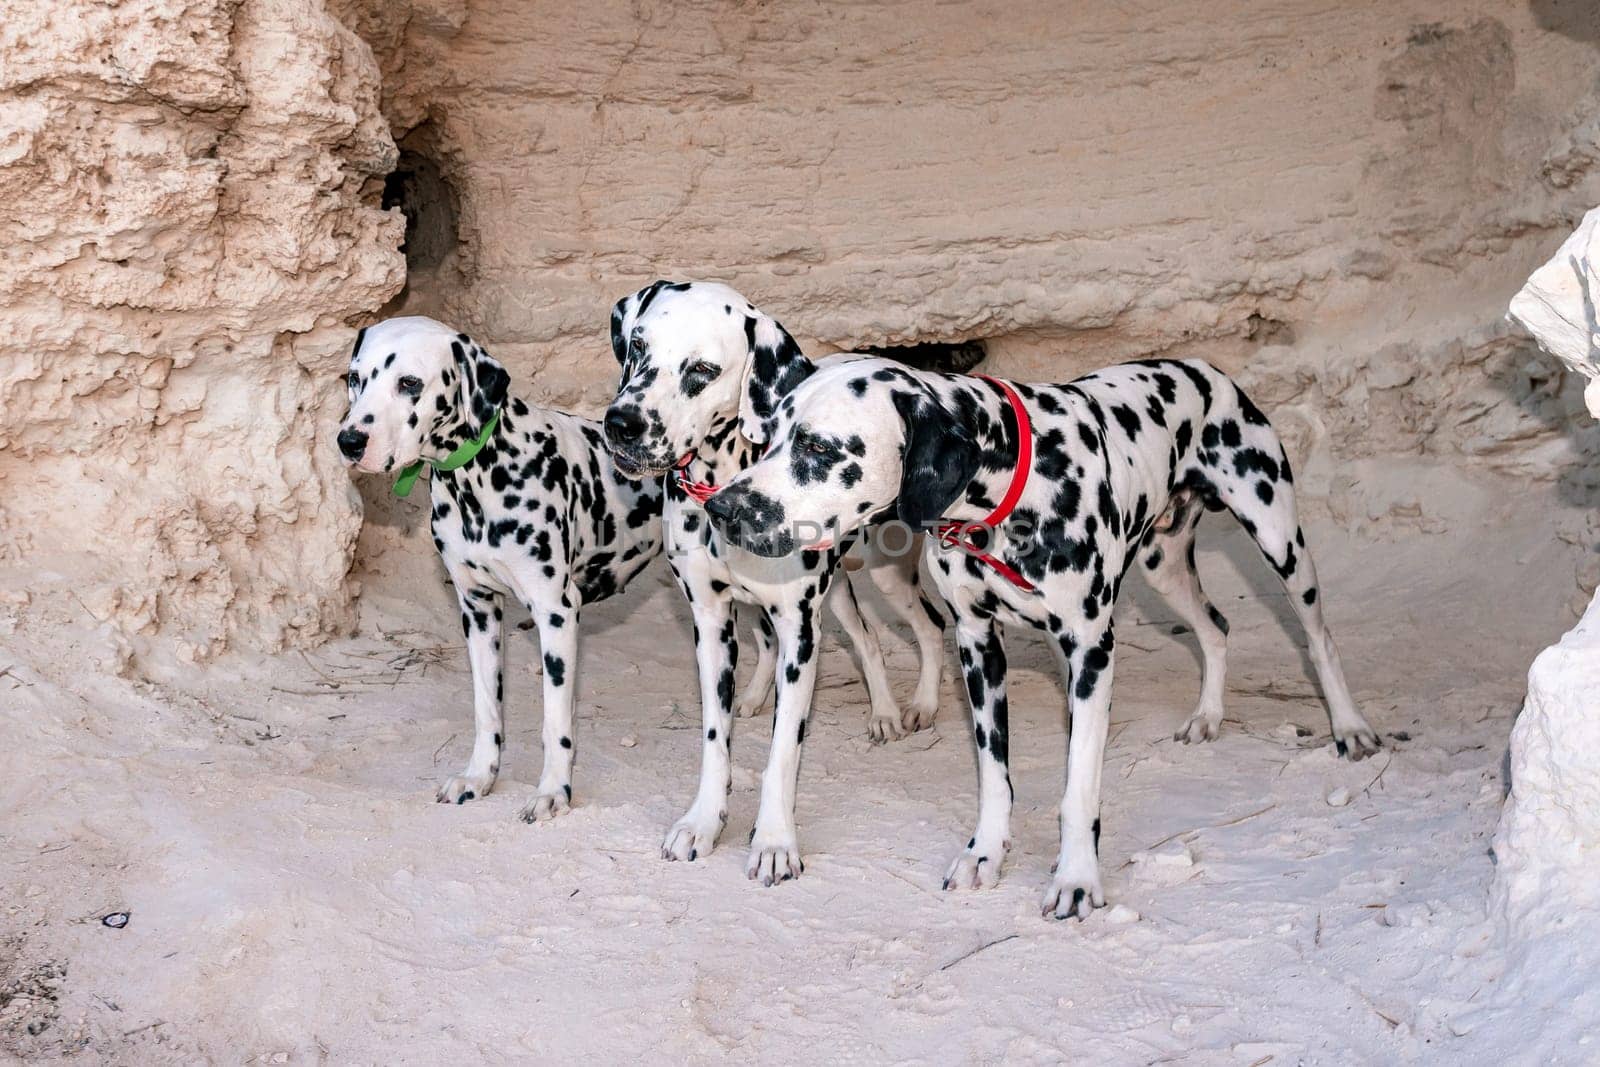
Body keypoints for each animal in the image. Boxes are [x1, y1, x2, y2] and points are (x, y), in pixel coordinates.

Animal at [337, 313, 662, 825]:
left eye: (409, 383)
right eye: (354, 379)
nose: (349, 441)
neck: (482, 478)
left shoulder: (556, 614)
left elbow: (555, 723)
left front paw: (553, 791)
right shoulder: (478, 609)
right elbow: (487, 709)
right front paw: (479, 777)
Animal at [601, 278, 947, 883]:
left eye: (702, 369)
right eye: (638, 345)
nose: (621, 423)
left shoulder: (800, 636)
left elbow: (784, 752)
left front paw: (775, 842)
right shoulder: (711, 622)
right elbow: (715, 739)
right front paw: (703, 821)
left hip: (883, 579)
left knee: (919, 628)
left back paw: (907, 707)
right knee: (856, 638)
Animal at [707, 351, 1382, 921]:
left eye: (818, 447)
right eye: (765, 439)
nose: (722, 509)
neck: (1009, 496)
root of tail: (1204, 368)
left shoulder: (1091, 653)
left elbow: (1078, 788)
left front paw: (1077, 879)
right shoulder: (978, 646)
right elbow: (993, 774)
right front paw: (985, 853)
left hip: (1280, 540)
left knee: (1319, 638)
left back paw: (1350, 727)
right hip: (1163, 565)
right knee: (1215, 628)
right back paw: (1208, 714)